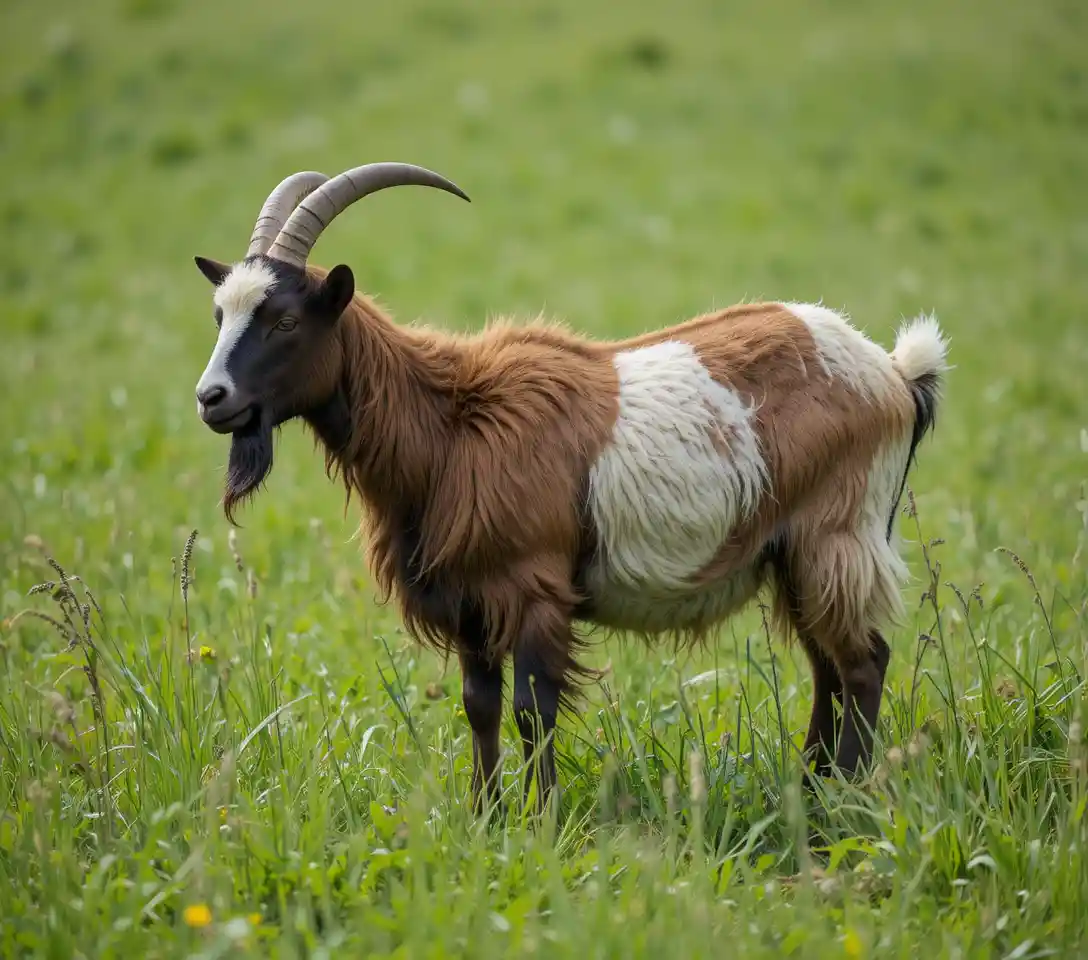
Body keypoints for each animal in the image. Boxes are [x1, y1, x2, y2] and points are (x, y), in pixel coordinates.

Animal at [192, 161, 949, 812]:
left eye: (286, 319)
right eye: (220, 316)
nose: (211, 398)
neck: (450, 425)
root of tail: (894, 373)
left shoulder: (533, 587)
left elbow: (534, 709)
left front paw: (546, 822)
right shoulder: (470, 600)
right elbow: (480, 705)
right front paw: (487, 817)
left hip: (836, 534)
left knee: (862, 661)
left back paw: (843, 801)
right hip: (792, 554)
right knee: (828, 666)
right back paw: (811, 788)